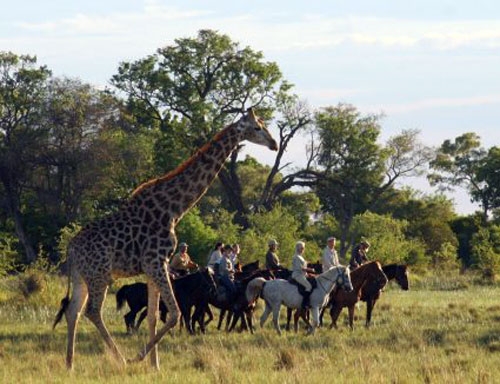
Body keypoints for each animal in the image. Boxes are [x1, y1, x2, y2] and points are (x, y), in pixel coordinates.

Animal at [52, 108, 280, 368]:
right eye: (257, 127)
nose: (274, 144)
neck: (173, 209)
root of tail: (71, 249)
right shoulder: (156, 261)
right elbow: (174, 313)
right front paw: (140, 357)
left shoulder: (153, 266)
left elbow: (152, 316)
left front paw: (155, 364)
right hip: (99, 275)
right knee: (92, 311)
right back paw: (121, 359)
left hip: (82, 277)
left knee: (73, 311)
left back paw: (70, 364)